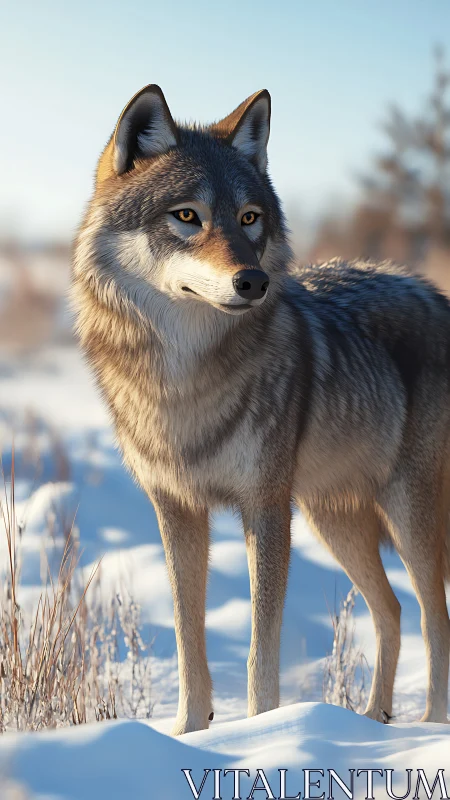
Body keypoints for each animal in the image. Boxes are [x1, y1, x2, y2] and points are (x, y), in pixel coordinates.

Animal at [72, 84, 450, 733]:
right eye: (187, 216)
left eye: (250, 219)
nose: (252, 281)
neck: (185, 383)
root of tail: (437, 295)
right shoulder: (175, 509)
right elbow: (188, 638)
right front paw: (188, 733)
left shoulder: (266, 507)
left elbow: (259, 648)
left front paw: (262, 730)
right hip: (334, 519)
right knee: (393, 610)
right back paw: (372, 721)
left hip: (406, 514)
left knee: (434, 616)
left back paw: (428, 725)